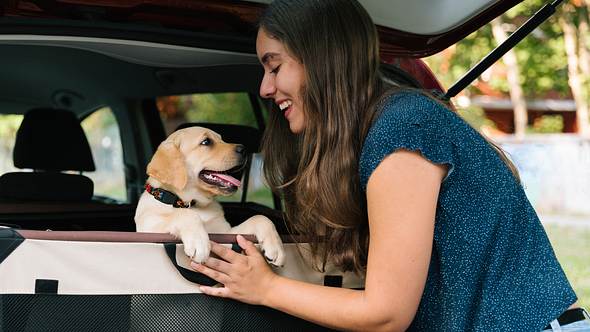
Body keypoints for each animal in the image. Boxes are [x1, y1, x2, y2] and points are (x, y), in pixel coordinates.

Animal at [137, 126, 290, 266]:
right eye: (206, 142)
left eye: (221, 139)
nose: (243, 149)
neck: (191, 203)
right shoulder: (149, 229)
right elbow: (185, 215)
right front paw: (199, 242)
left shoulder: (227, 233)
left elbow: (260, 218)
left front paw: (276, 248)